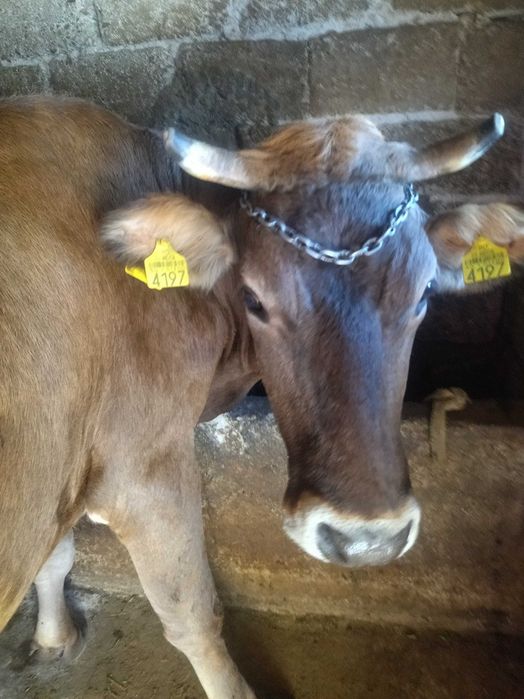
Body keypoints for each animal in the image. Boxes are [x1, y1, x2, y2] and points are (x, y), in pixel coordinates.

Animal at [1, 96, 522, 699]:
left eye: (425, 293)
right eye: (254, 298)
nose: (366, 541)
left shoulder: (64, 459)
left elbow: (54, 552)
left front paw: (53, 637)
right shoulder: (143, 470)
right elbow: (192, 613)